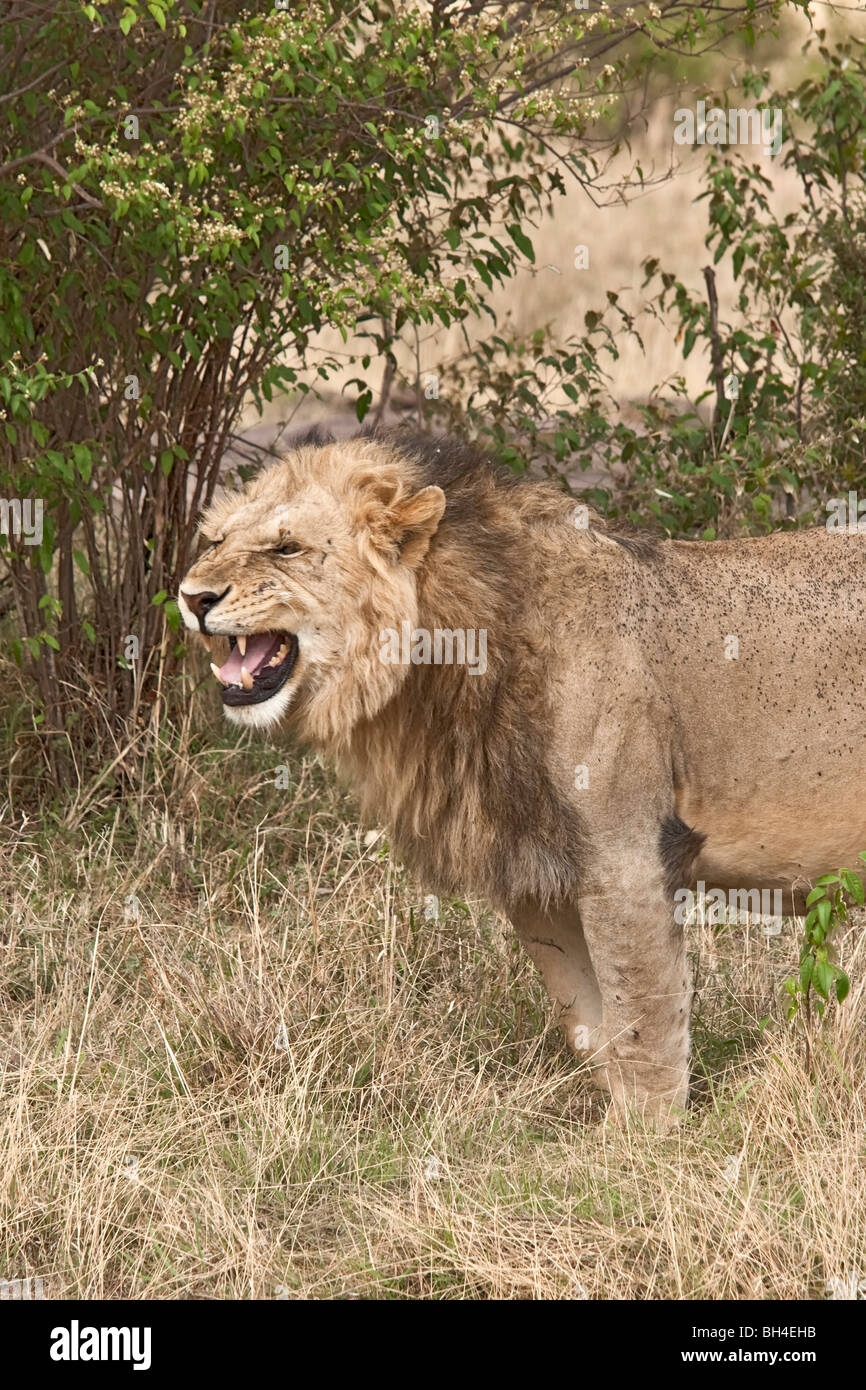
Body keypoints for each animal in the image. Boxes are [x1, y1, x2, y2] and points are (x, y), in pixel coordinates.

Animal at [178, 431, 866, 1123]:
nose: (192, 597)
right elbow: (588, 1019)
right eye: (216, 541)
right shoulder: (535, 877)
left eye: (286, 547)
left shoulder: (627, 859)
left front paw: (646, 1140)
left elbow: (642, 1019)